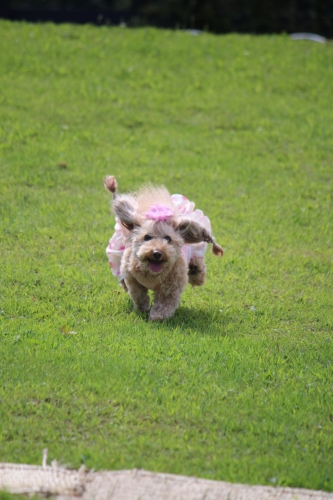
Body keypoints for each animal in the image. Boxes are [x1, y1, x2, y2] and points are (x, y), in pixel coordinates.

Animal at [104, 176, 223, 322]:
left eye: (168, 238)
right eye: (147, 237)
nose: (156, 253)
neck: (153, 274)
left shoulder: (172, 287)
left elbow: (165, 303)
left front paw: (157, 317)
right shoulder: (133, 279)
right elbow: (139, 295)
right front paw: (142, 309)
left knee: (198, 267)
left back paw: (196, 271)